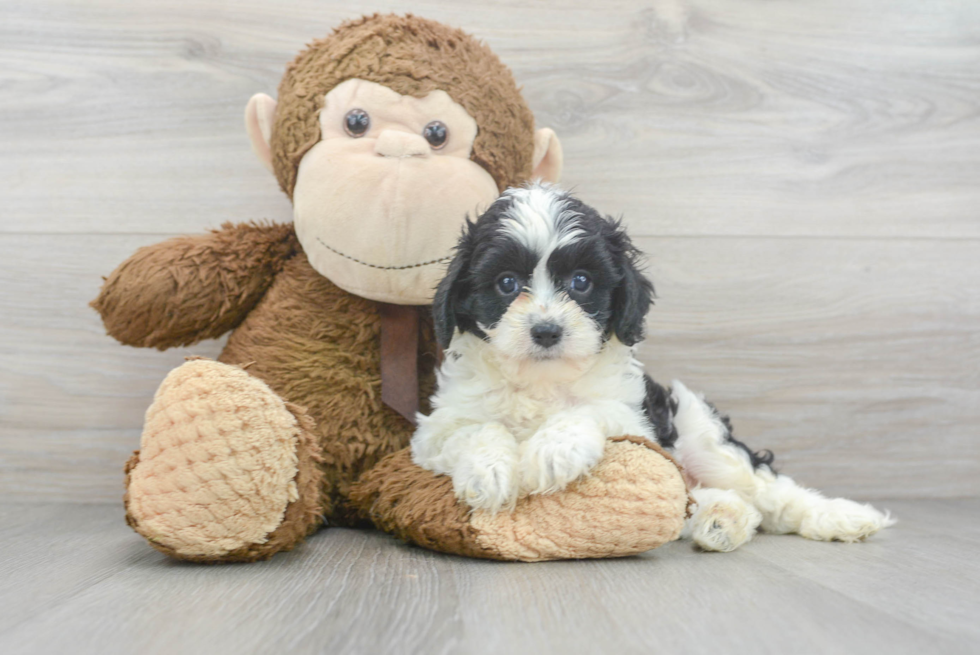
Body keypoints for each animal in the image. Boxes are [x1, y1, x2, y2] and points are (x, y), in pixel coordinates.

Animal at [414, 182, 896, 552]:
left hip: (703, 437)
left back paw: (843, 517)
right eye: (507, 283)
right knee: (714, 501)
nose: (547, 330)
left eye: (581, 282)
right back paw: (722, 520)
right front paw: (489, 470)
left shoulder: (635, 418)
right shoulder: (433, 432)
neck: (541, 383)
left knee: (771, 493)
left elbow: (588, 411)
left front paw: (553, 448)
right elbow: (475, 428)